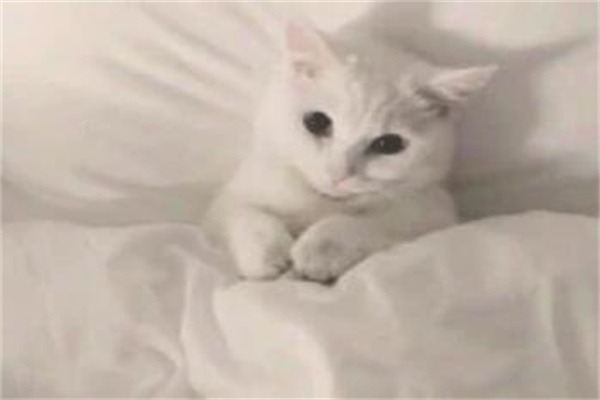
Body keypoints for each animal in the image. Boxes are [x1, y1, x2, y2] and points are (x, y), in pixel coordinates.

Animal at [203, 21, 496, 282]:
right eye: (316, 122)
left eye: (388, 145)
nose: (338, 174)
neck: (323, 202)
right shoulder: (233, 195)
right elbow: (245, 216)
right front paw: (267, 254)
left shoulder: (434, 213)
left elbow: (365, 222)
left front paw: (319, 250)